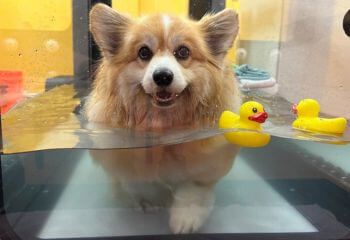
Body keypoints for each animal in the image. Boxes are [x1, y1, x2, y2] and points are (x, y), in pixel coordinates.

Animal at [86, 2, 242, 233]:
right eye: (144, 52)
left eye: (183, 52)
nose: (162, 76)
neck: (165, 126)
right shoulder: (120, 157)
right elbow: (138, 180)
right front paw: (152, 198)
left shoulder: (209, 162)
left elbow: (194, 188)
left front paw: (186, 217)